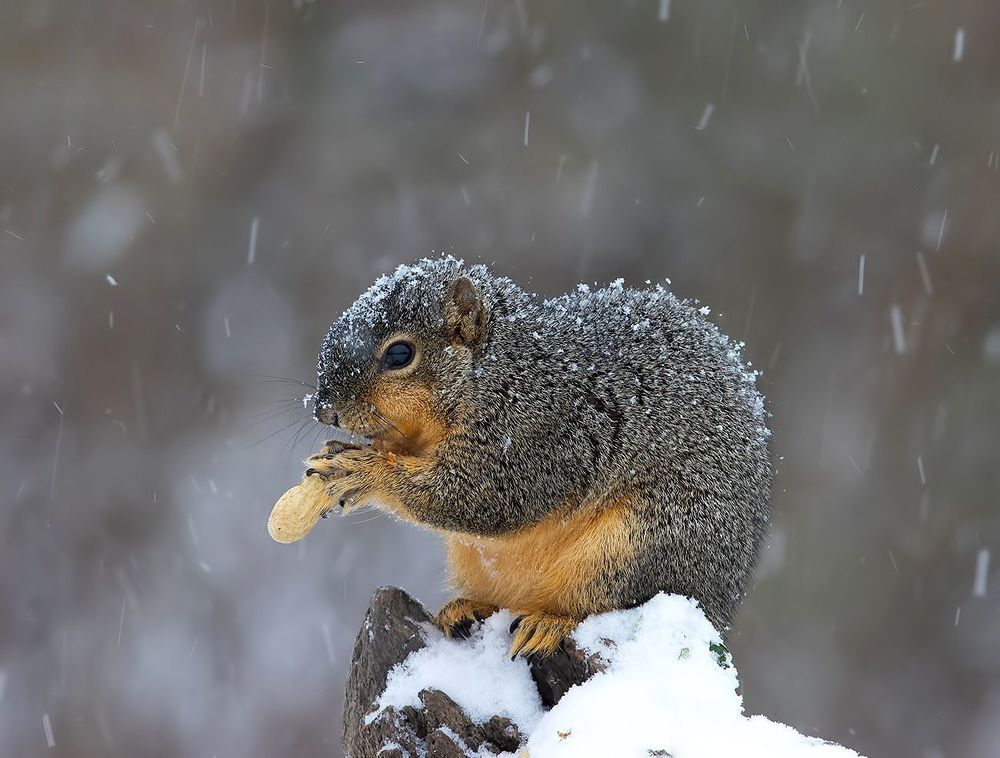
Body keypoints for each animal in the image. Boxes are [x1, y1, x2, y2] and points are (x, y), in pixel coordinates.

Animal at [304, 256, 771, 658]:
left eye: (399, 354)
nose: (323, 410)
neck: (498, 369)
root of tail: (717, 609)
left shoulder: (538, 433)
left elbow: (477, 497)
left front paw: (362, 472)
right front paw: (343, 454)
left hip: (642, 544)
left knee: (605, 604)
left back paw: (549, 623)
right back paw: (468, 609)